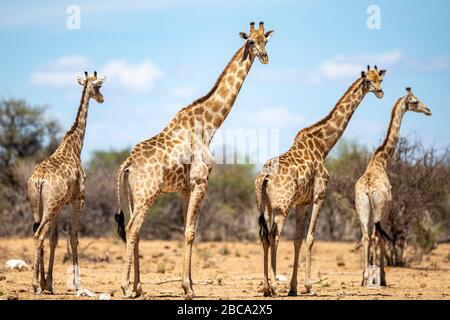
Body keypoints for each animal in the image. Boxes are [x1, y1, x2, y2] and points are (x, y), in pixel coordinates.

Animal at [27, 71, 106, 294]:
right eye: (98, 86)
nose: (102, 98)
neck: (75, 146)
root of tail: (39, 180)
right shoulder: (79, 199)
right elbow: (73, 237)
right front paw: (77, 283)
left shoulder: (60, 205)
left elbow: (54, 240)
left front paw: (49, 283)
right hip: (50, 206)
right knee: (39, 235)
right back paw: (35, 285)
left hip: (39, 206)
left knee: (38, 234)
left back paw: (39, 284)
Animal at [112, 21, 274, 298]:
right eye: (250, 41)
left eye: (267, 39)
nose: (264, 57)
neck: (208, 124)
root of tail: (128, 165)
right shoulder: (200, 181)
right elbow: (190, 232)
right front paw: (188, 288)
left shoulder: (184, 188)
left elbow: (185, 231)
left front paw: (188, 285)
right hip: (147, 195)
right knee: (133, 229)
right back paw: (125, 287)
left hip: (133, 196)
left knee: (135, 231)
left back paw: (138, 287)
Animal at [255, 65, 384, 298]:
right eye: (368, 81)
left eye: (380, 79)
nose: (380, 92)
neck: (323, 146)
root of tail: (264, 178)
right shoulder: (319, 195)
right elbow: (310, 238)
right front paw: (309, 286)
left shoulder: (302, 202)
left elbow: (298, 240)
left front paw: (294, 287)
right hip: (281, 206)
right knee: (274, 235)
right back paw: (274, 286)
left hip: (265, 205)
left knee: (264, 235)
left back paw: (267, 288)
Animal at [356, 87, 432, 284]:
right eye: (415, 101)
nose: (428, 110)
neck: (382, 160)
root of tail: (368, 189)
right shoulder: (387, 209)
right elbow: (381, 239)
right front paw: (382, 277)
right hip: (379, 211)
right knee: (377, 237)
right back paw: (377, 278)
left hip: (362, 209)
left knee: (366, 237)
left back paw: (365, 276)